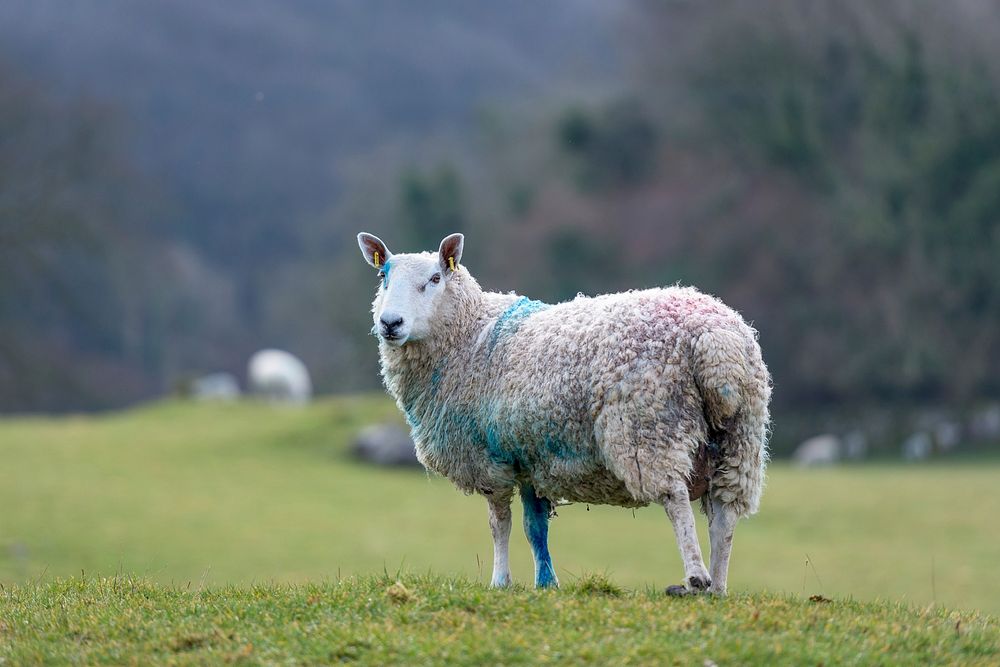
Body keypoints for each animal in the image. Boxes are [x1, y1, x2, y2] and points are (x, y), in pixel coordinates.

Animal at [356, 231, 768, 596]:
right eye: (383, 275)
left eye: (435, 278)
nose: (390, 323)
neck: (469, 334)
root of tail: (716, 341)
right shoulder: (527, 457)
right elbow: (534, 527)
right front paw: (545, 583)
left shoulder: (490, 459)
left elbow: (499, 523)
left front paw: (500, 581)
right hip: (738, 437)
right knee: (724, 515)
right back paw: (718, 587)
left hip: (649, 425)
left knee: (676, 499)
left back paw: (696, 577)